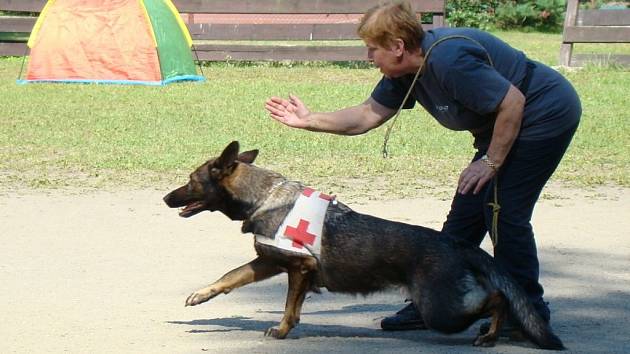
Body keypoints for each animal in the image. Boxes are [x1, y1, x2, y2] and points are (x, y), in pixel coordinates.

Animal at [164, 140, 568, 348]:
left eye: (191, 180)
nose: (166, 198)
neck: (264, 196)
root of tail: (457, 244)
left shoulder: (297, 268)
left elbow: (288, 308)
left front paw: (281, 331)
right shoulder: (270, 262)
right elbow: (230, 276)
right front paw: (201, 295)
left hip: (440, 310)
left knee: (498, 298)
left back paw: (492, 334)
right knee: (496, 298)